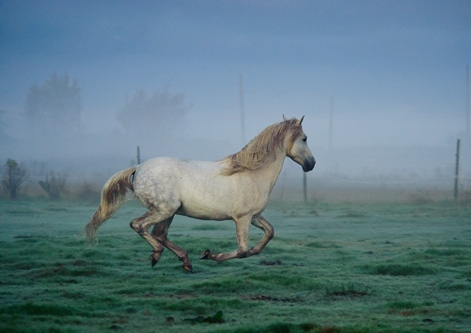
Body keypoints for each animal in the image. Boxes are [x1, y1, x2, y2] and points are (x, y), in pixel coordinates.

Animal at [85, 115, 318, 272]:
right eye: (305, 138)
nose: (312, 164)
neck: (252, 172)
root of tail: (138, 168)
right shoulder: (242, 218)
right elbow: (242, 250)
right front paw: (209, 255)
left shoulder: (254, 216)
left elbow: (268, 234)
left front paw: (251, 251)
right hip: (163, 210)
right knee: (140, 226)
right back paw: (158, 255)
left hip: (168, 212)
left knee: (159, 234)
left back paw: (185, 261)